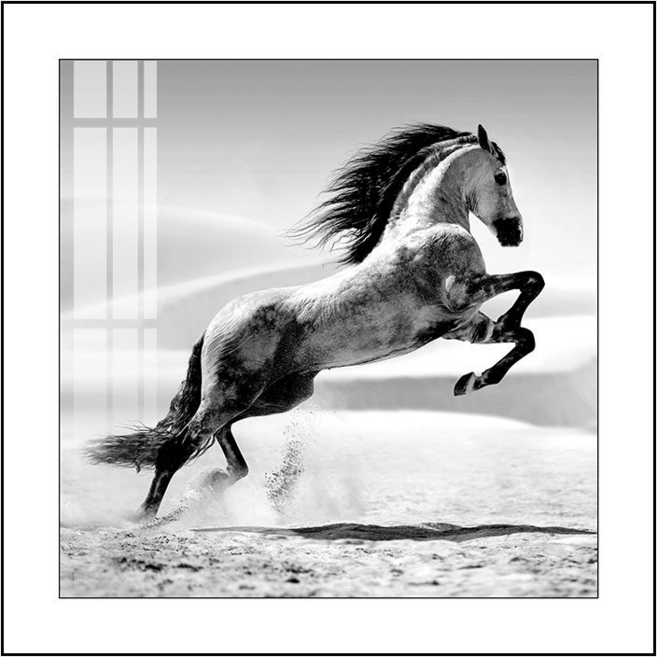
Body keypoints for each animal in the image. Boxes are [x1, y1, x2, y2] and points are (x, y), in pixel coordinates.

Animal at [86, 123, 545, 519]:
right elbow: (531, 281)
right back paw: (145, 519)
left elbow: (525, 337)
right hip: (233, 394)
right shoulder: (463, 292)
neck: (426, 226)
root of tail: (215, 324)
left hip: (276, 396)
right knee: (178, 447)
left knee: (218, 439)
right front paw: (481, 363)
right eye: (501, 176)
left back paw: (211, 485)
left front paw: (471, 381)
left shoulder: (464, 326)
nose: (516, 233)